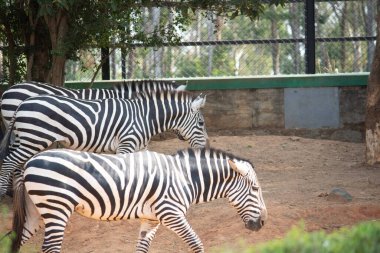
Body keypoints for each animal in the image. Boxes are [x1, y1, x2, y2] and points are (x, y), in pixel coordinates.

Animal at [0, 90, 208, 199]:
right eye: (201, 123)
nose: (205, 147)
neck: (145, 117)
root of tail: (24, 102)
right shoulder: (126, 144)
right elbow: (124, 172)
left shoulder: (140, 146)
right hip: (33, 139)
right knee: (8, 163)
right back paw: (4, 195)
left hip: (23, 139)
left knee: (15, 165)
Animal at [9, 147, 268, 252]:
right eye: (255, 189)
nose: (263, 224)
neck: (184, 177)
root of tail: (29, 162)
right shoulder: (171, 213)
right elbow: (196, 243)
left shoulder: (151, 219)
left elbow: (141, 249)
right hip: (56, 207)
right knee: (51, 247)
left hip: (35, 213)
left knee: (16, 241)